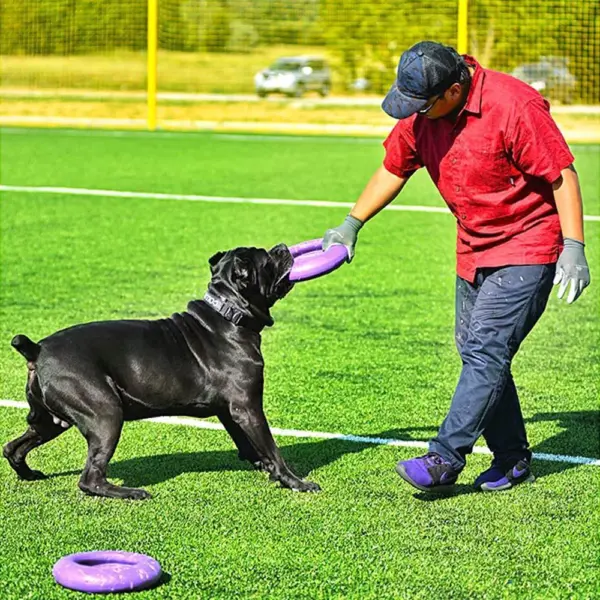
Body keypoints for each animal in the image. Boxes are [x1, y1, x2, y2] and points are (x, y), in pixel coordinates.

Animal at [2, 245, 322, 502]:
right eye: (267, 259)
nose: (282, 247)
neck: (229, 315)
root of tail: (37, 349)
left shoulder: (230, 411)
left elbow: (250, 444)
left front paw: (265, 467)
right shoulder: (248, 407)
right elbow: (272, 446)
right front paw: (295, 481)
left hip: (50, 420)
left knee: (13, 448)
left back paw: (30, 474)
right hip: (105, 414)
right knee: (90, 478)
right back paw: (130, 493)